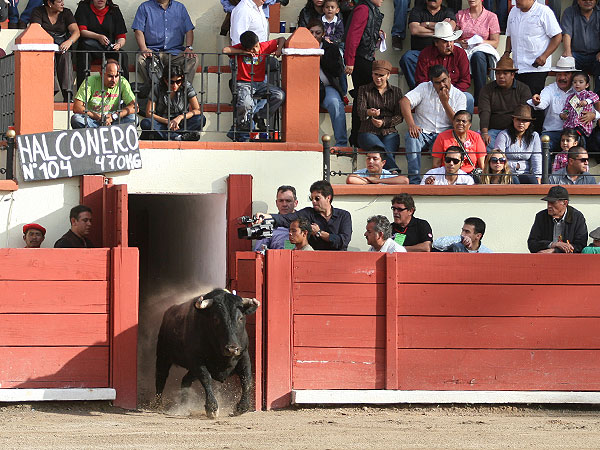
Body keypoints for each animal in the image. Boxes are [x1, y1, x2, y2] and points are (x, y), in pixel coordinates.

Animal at [156, 288, 258, 418]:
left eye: (240, 318)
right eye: (216, 319)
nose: (232, 349)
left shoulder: (244, 356)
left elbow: (246, 379)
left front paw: (242, 407)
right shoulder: (197, 360)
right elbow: (206, 378)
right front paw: (212, 408)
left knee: (185, 380)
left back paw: (183, 406)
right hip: (163, 356)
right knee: (161, 377)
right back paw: (157, 405)